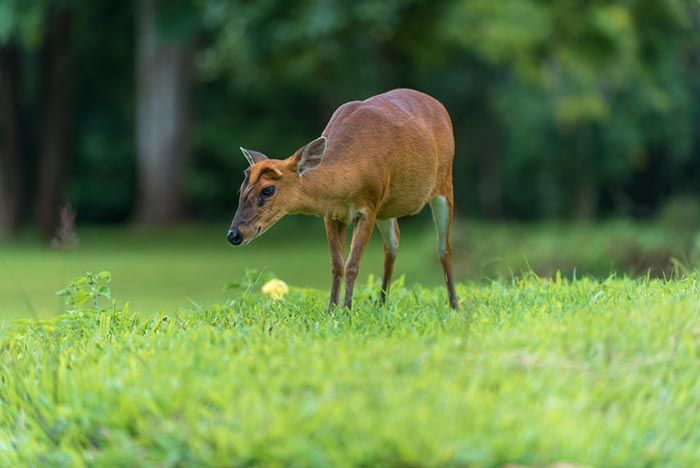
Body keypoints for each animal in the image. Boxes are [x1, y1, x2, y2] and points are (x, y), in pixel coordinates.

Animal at [227, 88, 460, 310]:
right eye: (241, 189)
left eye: (268, 190)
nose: (234, 235)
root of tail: (438, 105)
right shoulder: (332, 215)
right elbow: (336, 265)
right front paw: (331, 309)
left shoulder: (369, 207)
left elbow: (352, 265)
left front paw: (347, 309)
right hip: (387, 208)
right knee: (392, 245)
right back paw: (381, 304)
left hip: (444, 183)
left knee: (444, 248)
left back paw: (454, 306)